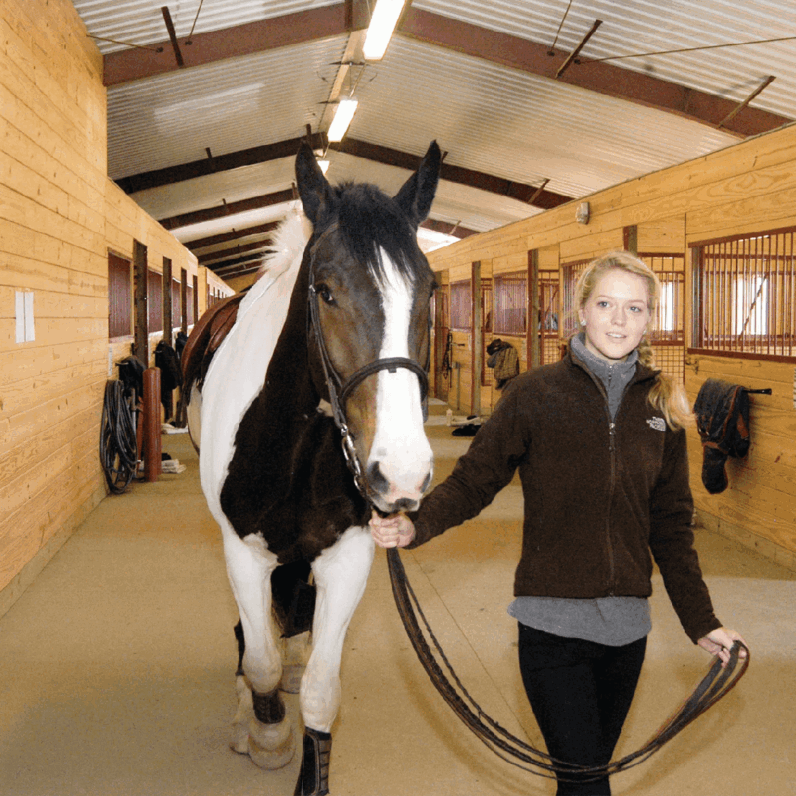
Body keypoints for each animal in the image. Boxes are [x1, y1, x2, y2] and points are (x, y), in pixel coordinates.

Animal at [182, 139, 441, 795]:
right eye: (324, 291)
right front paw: (266, 730)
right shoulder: (242, 550)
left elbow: (323, 689)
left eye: (429, 291)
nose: (401, 474)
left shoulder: (348, 555)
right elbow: (260, 659)